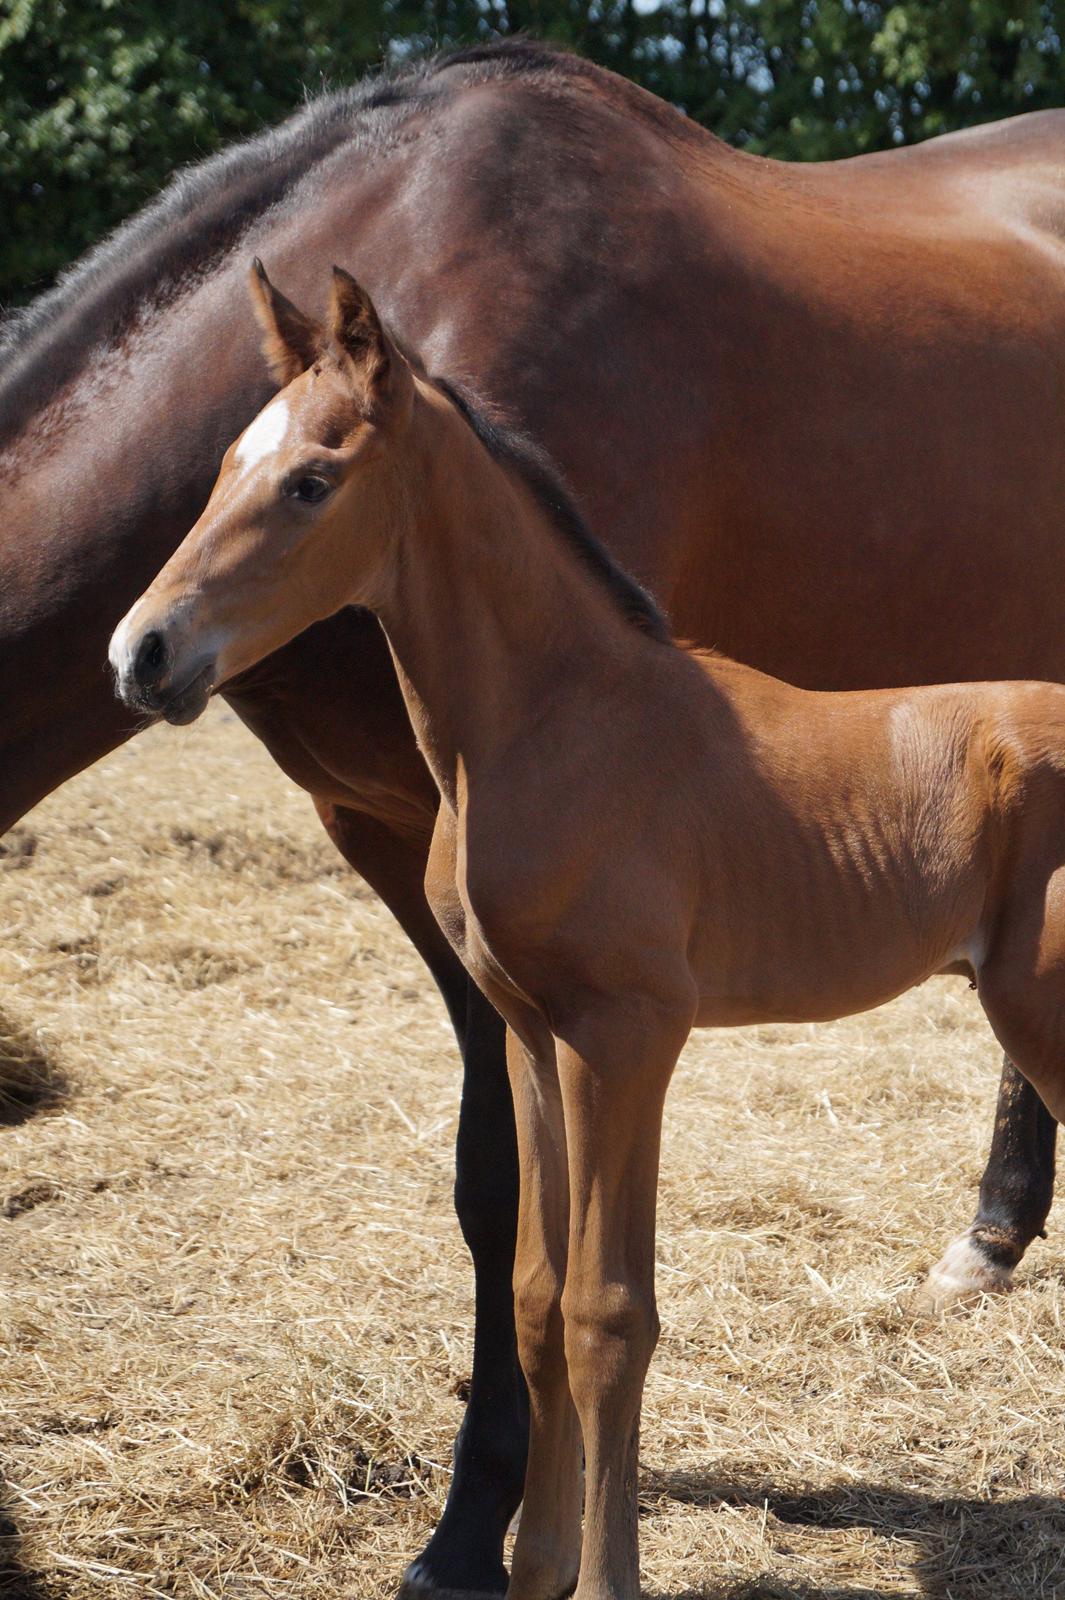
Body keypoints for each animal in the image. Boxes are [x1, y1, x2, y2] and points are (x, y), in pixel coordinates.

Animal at [6, 34, 1061, 1587]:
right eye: (216, 468)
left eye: (312, 480)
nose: (143, 652)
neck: (570, 713)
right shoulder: (513, 998)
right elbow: (531, 1277)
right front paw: (532, 1551)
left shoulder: (626, 1031)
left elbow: (600, 1301)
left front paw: (510, 1548)